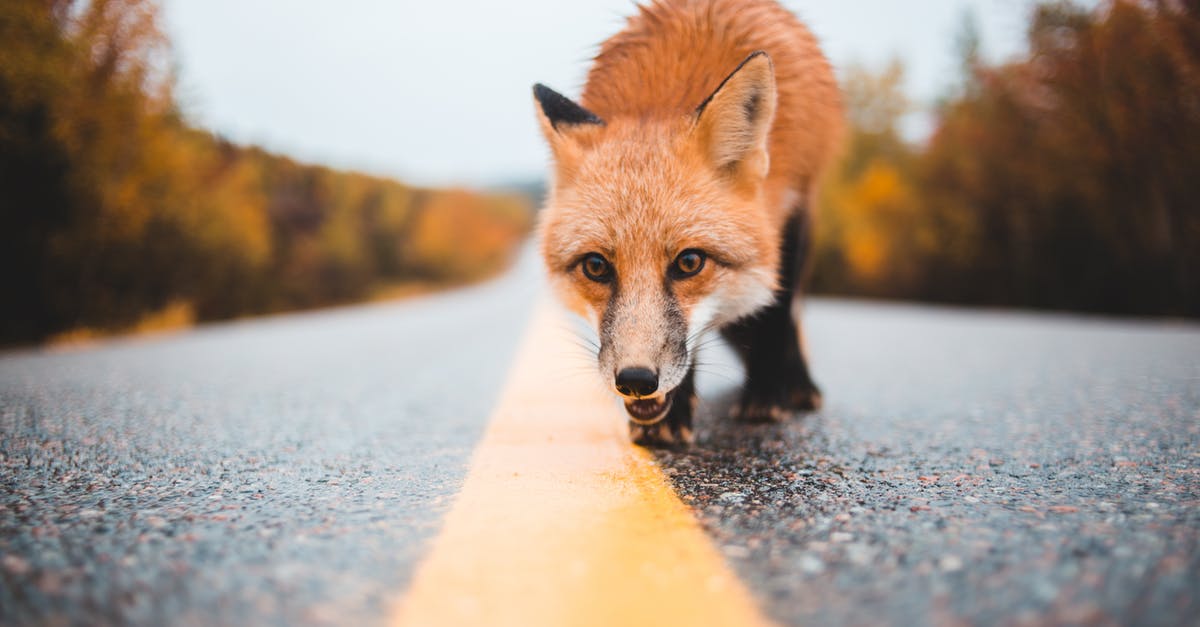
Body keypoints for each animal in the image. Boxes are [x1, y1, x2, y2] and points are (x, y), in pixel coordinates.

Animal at [535, 0, 844, 444]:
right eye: (595, 266)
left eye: (689, 262)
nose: (635, 380)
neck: (659, 97)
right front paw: (672, 416)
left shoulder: (791, 209)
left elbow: (776, 314)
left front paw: (765, 396)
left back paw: (796, 385)